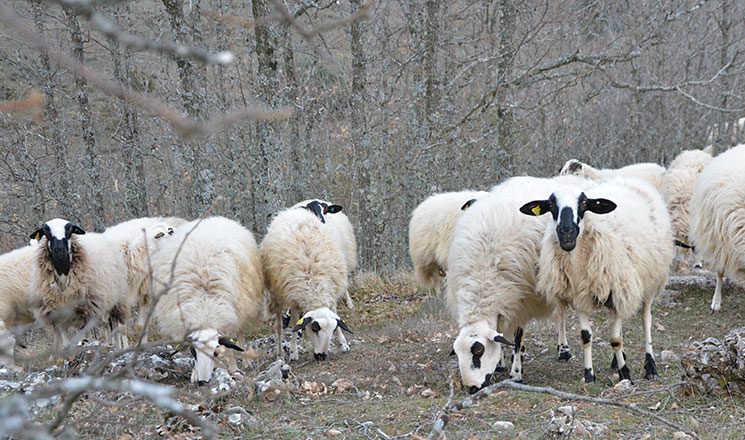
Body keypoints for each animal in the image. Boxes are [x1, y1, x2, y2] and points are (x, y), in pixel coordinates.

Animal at [29, 218, 132, 350]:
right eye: (46, 231)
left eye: (69, 229)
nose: (59, 249)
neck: (63, 274)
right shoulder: (57, 314)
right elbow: (66, 342)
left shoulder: (86, 309)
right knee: (110, 326)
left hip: (118, 300)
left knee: (120, 327)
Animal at [148, 216, 264, 384]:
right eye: (193, 352)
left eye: (215, 353)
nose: (202, 382)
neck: (204, 308)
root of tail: (213, 218)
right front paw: (194, 374)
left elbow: (229, 346)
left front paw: (234, 369)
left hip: (242, 305)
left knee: (240, 333)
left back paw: (246, 361)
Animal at [261, 206, 353, 362]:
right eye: (314, 328)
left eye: (333, 329)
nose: (321, 356)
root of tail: (292, 211)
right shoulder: (293, 297)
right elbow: (294, 322)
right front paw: (293, 352)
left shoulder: (332, 292)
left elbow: (335, 313)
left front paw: (343, 343)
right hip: (276, 291)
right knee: (279, 324)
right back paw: (280, 353)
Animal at [447, 175, 592, 392]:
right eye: (457, 353)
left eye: (478, 351)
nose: (471, 388)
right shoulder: (505, 299)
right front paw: (501, 363)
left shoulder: (522, 298)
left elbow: (517, 337)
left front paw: (516, 373)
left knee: (560, 315)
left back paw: (563, 350)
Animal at [519, 177, 673, 383]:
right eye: (551, 205)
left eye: (584, 204)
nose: (566, 231)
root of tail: (629, 179)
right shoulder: (579, 296)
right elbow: (586, 336)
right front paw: (589, 374)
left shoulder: (618, 290)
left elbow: (615, 339)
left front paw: (626, 374)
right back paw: (618, 360)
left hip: (651, 279)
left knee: (645, 319)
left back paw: (650, 366)